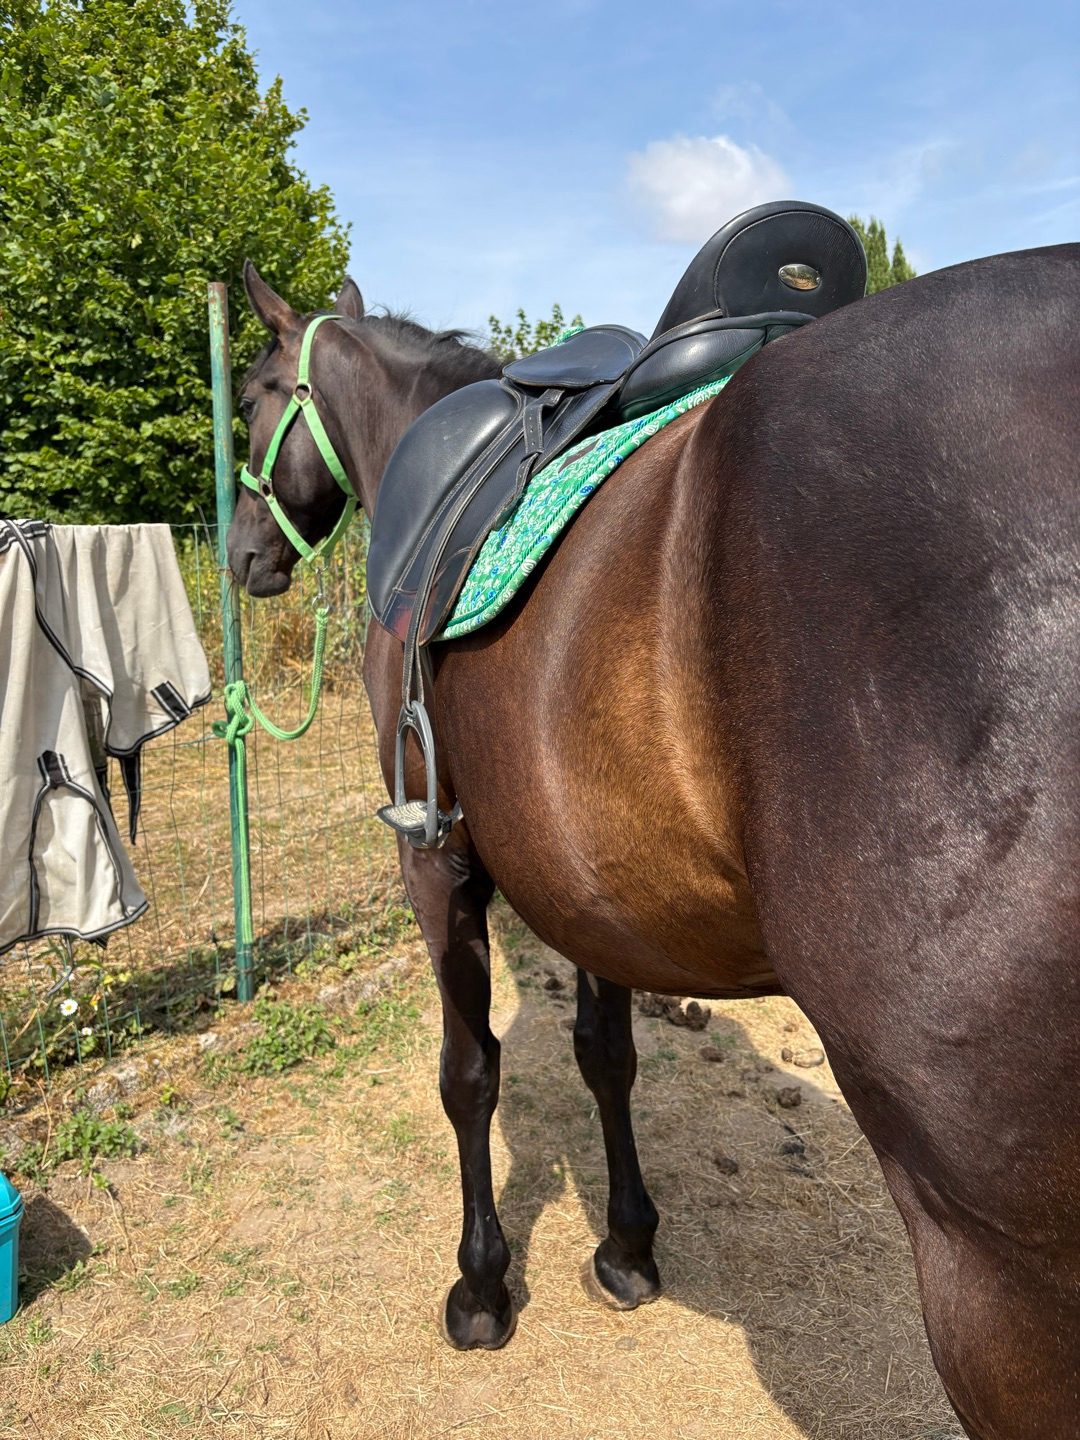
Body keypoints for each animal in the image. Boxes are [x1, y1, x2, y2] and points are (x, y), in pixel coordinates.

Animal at [226, 245, 1080, 1440]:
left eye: (254, 397)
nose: (243, 553)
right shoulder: (587, 873)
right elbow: (606, 1055)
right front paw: (629, 1246)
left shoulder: (435, 861)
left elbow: (469, 1075)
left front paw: (482, 1288)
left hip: (1000, 1271)